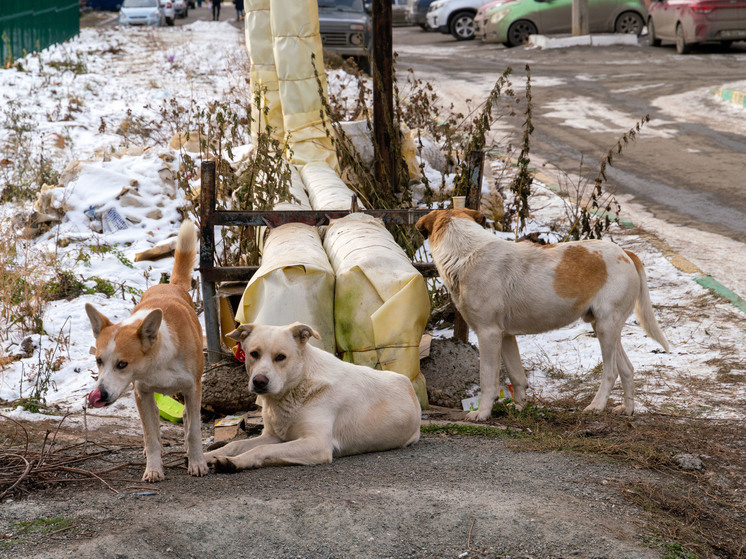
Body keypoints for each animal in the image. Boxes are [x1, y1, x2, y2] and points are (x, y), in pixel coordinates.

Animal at [84, 221, 206, 484]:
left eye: (122, 364)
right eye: (99, 361)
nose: (100, 394)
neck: (158, 360)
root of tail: (170, 285)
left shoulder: (193, 389)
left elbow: (193, 431)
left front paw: (197, 462)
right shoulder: (142, 394)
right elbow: (150, 436)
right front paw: (153, 468)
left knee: (188, 419)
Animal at [203, 324, 422, 472]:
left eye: (280, 357)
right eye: (254, 354)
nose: (259, 381)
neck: (296, 387)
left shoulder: (316, 444)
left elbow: (262, 449)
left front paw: (235, 462)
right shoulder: (273, 435)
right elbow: (235, 444)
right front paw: (206, 456)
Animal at [412, 209, 668, 420]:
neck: (466, 253)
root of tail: (626, 253)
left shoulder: (488, 334)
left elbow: (487, 380)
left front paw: (482, 413)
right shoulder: (505, 336)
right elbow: (517, 377)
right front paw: (519, 408)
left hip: (605, 328)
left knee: (611, 372)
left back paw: (596, 406)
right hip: (606, 328)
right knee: (627, 369)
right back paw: (627, 409)